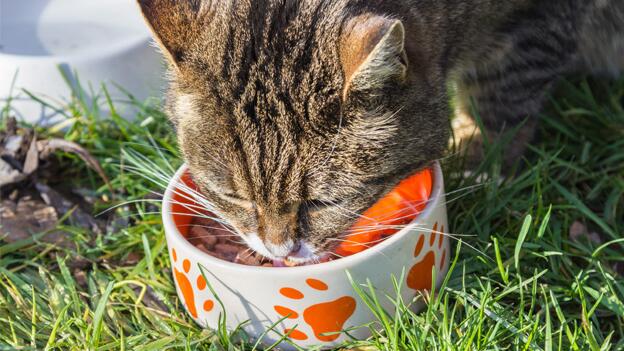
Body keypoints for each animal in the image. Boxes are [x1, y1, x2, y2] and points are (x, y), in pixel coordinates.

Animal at [138, 0, 624, 264]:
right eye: (234, 196)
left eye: (323, 202)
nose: (280, 252)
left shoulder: (535, 24)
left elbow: (502, 94)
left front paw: (480, 162)